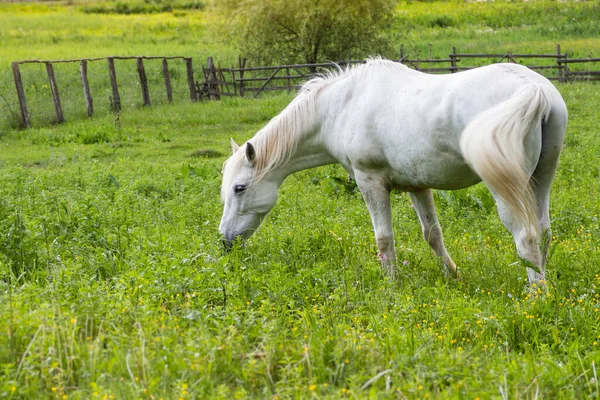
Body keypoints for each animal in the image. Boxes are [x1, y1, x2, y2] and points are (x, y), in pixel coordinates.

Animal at [220, 59, 568, 284]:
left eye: (239, 188)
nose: (225, 242)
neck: (341, 105)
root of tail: (533, 89)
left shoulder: (369, 181)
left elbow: (384, 239)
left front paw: (392, 285)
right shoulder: (418, 186)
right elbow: (433, 235)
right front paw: (453, 276)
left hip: (507, 190)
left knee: (526, 235)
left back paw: (536, 293)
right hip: (541, 179)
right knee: (544, 230)